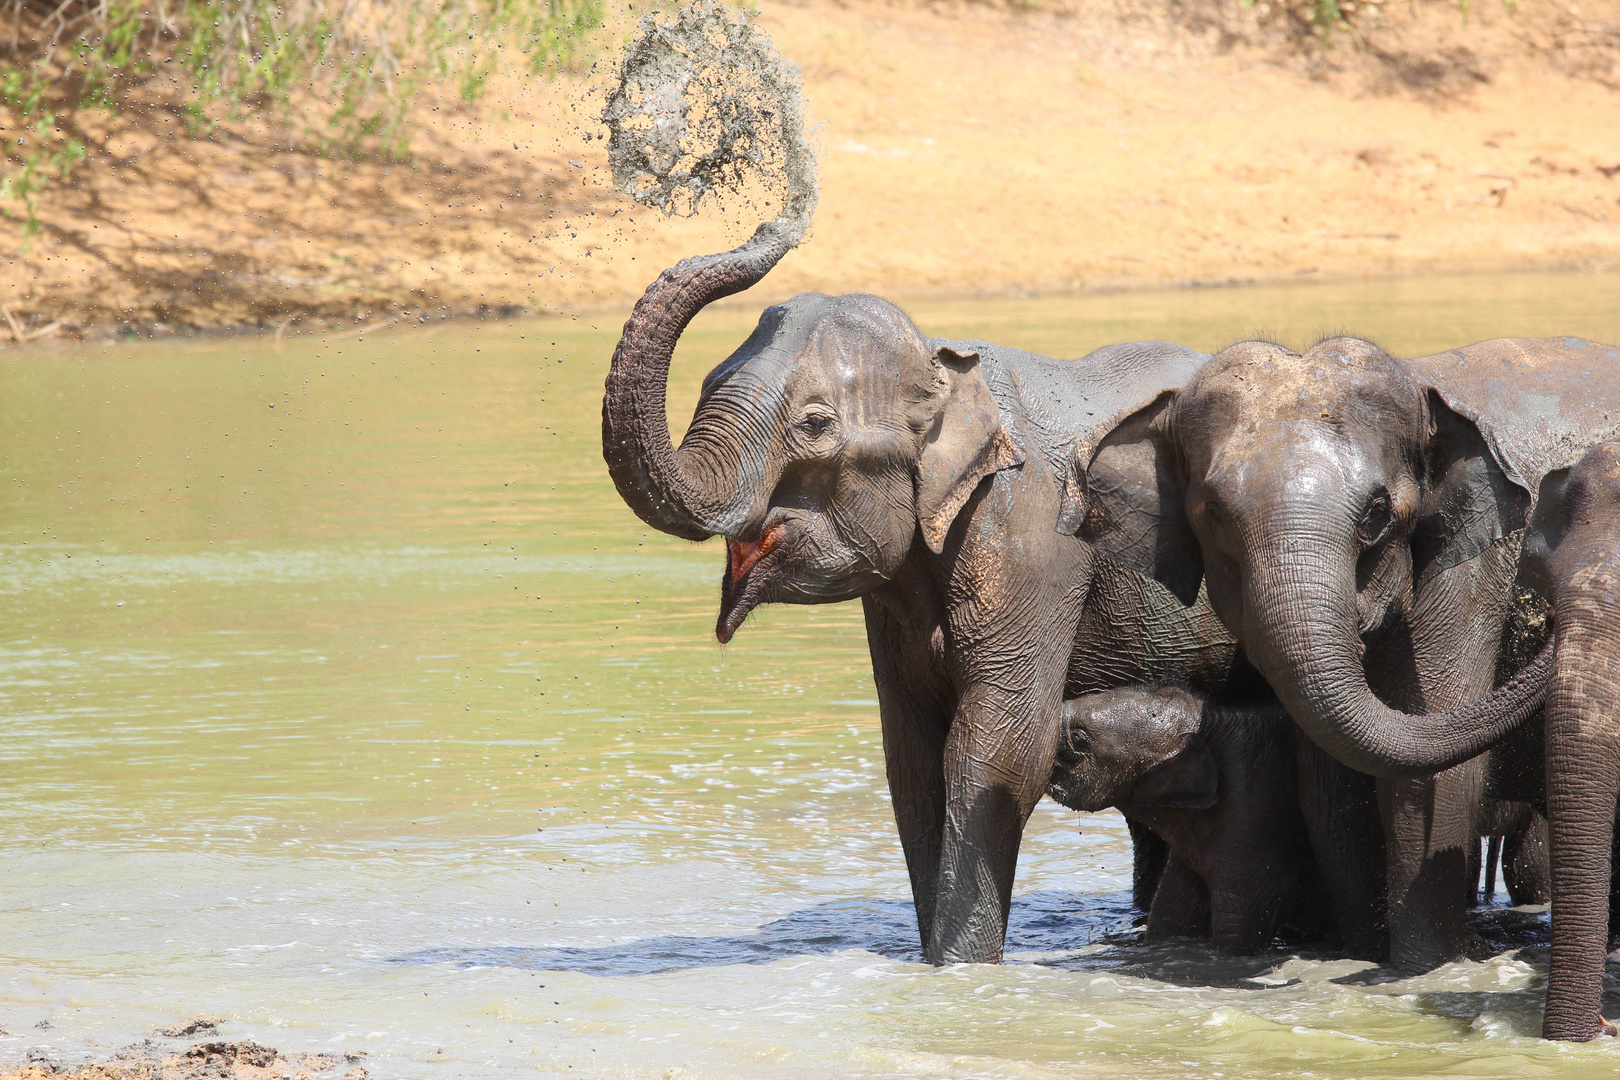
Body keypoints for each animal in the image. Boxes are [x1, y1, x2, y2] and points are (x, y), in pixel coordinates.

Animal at [602, 223, 1257, 965]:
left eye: (815, 424)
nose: (778, 225)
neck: (947, 372)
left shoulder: (1035, 538)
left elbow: (999, 752)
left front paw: (959, 973)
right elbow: (912, 761)